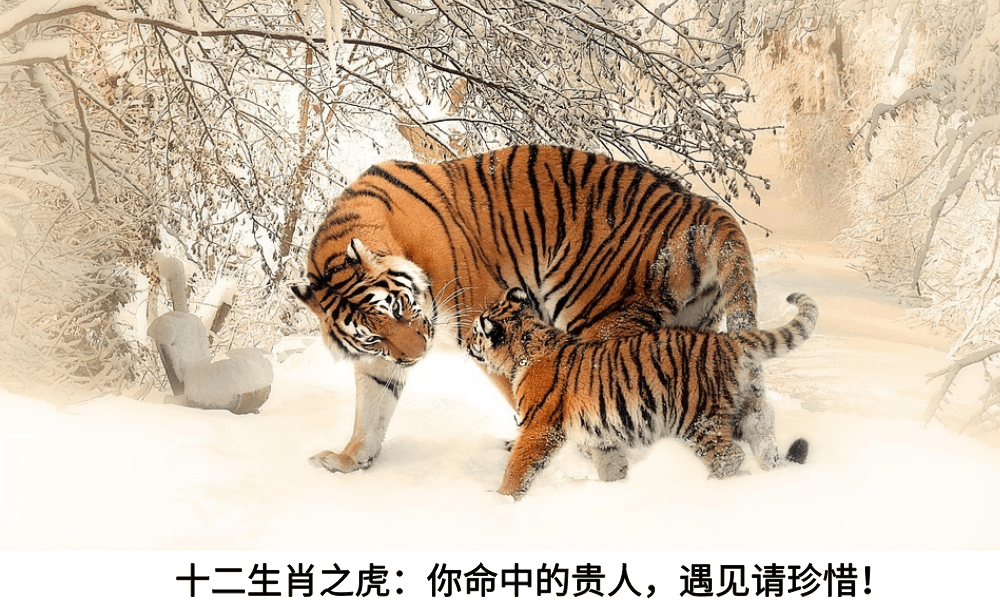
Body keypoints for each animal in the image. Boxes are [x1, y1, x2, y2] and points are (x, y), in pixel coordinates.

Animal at [291, 145, 770, 475]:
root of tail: (702, 207)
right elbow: (371, 410)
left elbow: (524, 390)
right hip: (693, 327)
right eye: (373, 334)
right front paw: (349, 460)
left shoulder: (486, 321)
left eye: (401, 308)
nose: (417, 356)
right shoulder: (379, 360)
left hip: (599, 318)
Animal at [466, 287, 817, 499]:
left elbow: (519, 467)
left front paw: (501, 500)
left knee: (729, 456)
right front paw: (616, 491)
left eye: (475, 332)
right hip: (746, 411)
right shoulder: (602, 436)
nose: (467, 343)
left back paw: (712, 489)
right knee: (763, 442)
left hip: (697, 419)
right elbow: (611, 466)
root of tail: (725, 340)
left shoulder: (539, 428)